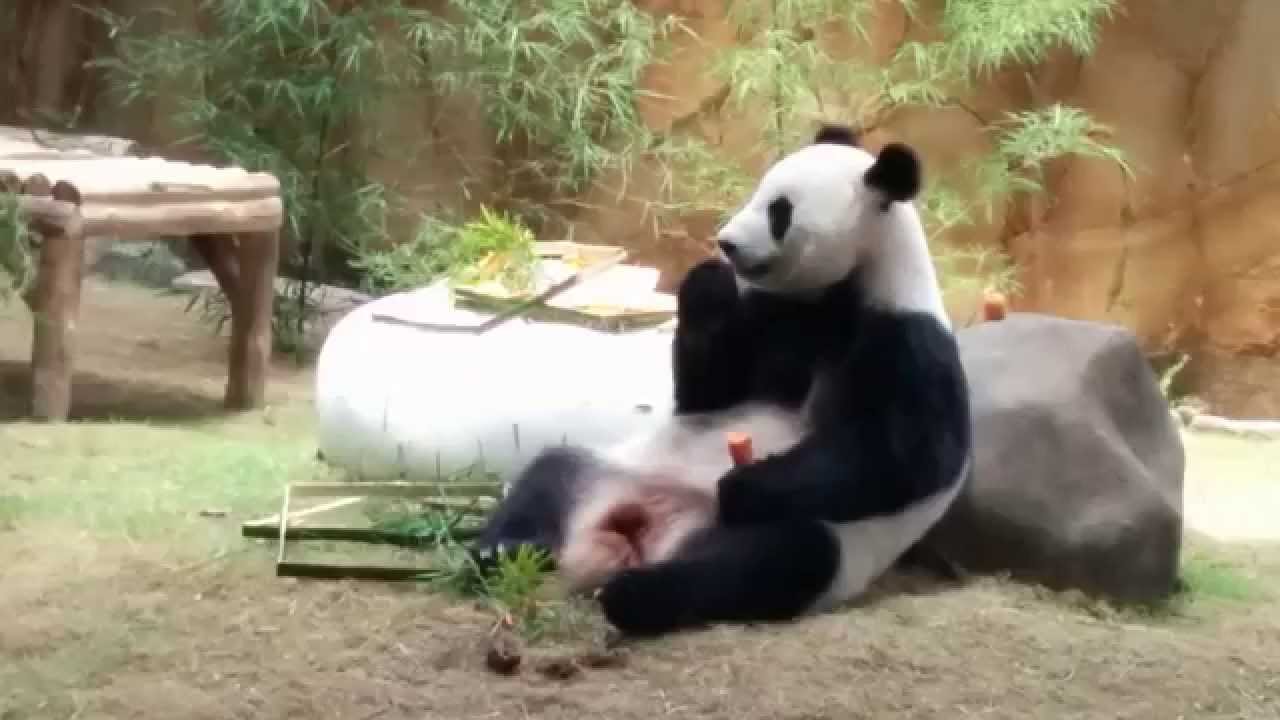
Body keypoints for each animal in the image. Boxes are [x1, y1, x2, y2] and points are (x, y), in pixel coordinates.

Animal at [472, 123, 973, 636]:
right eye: (759, 190)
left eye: (780, 211)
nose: (726, 243)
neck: (838, 293)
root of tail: (640, 529)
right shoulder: (775, 314)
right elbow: (712, 390)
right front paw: (707, 282)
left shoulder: (907, 341)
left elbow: (901, 460)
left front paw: (740, 483)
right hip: (613, 467)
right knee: (552, 471)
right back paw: (503, 549)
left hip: (800, 543)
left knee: (770, 559)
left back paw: (634, 593)